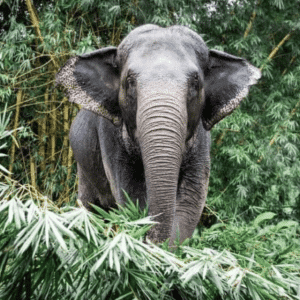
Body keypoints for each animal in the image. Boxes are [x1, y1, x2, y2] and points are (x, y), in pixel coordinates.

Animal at [55, 24, 260, 246]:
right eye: (129, 81)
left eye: (195, 82)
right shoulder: (109, 135)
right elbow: (130, 194)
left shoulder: (202, 139)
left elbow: (191, 198)